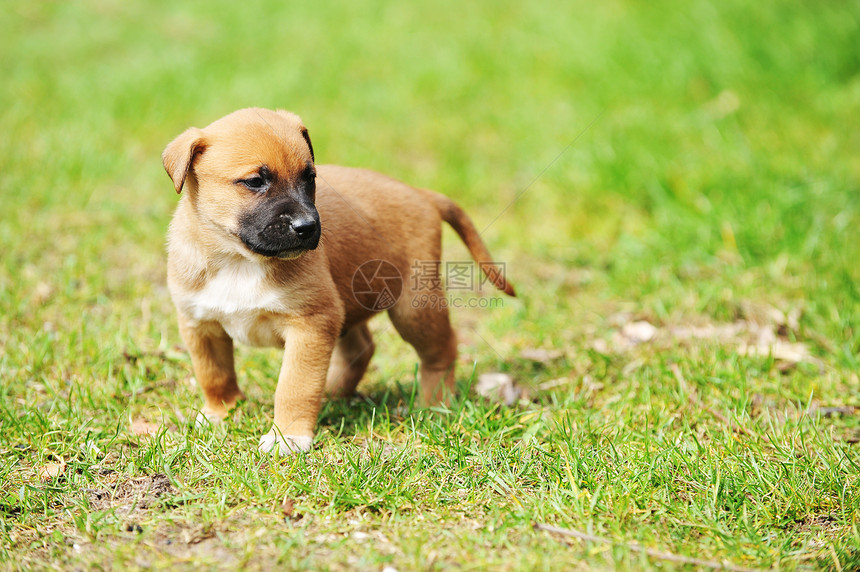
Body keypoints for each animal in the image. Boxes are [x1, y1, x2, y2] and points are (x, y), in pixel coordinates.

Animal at [162, 108, 512, 456]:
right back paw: (332, 394)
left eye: (310, 178)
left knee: (442, 350)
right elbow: (214, 374)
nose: (307, 226)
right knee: (361, 349)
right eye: (255, 182)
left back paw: (435, 404)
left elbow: (295, 385)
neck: (238, 258)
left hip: (414, 309)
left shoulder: (310, 325)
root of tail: (421, 194)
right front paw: (222, 411)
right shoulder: (200, 325)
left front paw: (288, 435)